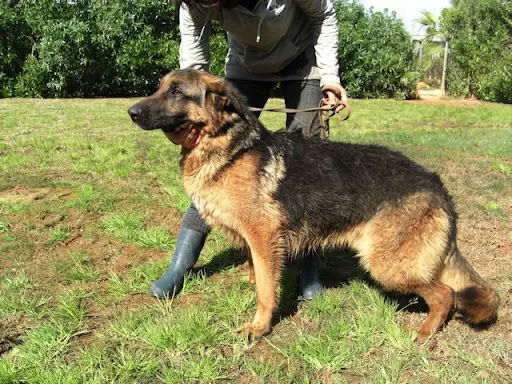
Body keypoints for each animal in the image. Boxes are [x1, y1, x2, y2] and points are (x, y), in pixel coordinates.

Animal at [129, 69, 500, 342]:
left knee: (445, 294)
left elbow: (265, 289)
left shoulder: (264, 236)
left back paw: (425, 333)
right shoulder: (256, 242)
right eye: (160, 88)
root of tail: (437, 185)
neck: (227, 146)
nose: (131, 112)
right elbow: (258, 274)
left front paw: (260, 326)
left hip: (387, 265)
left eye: (177, 92)